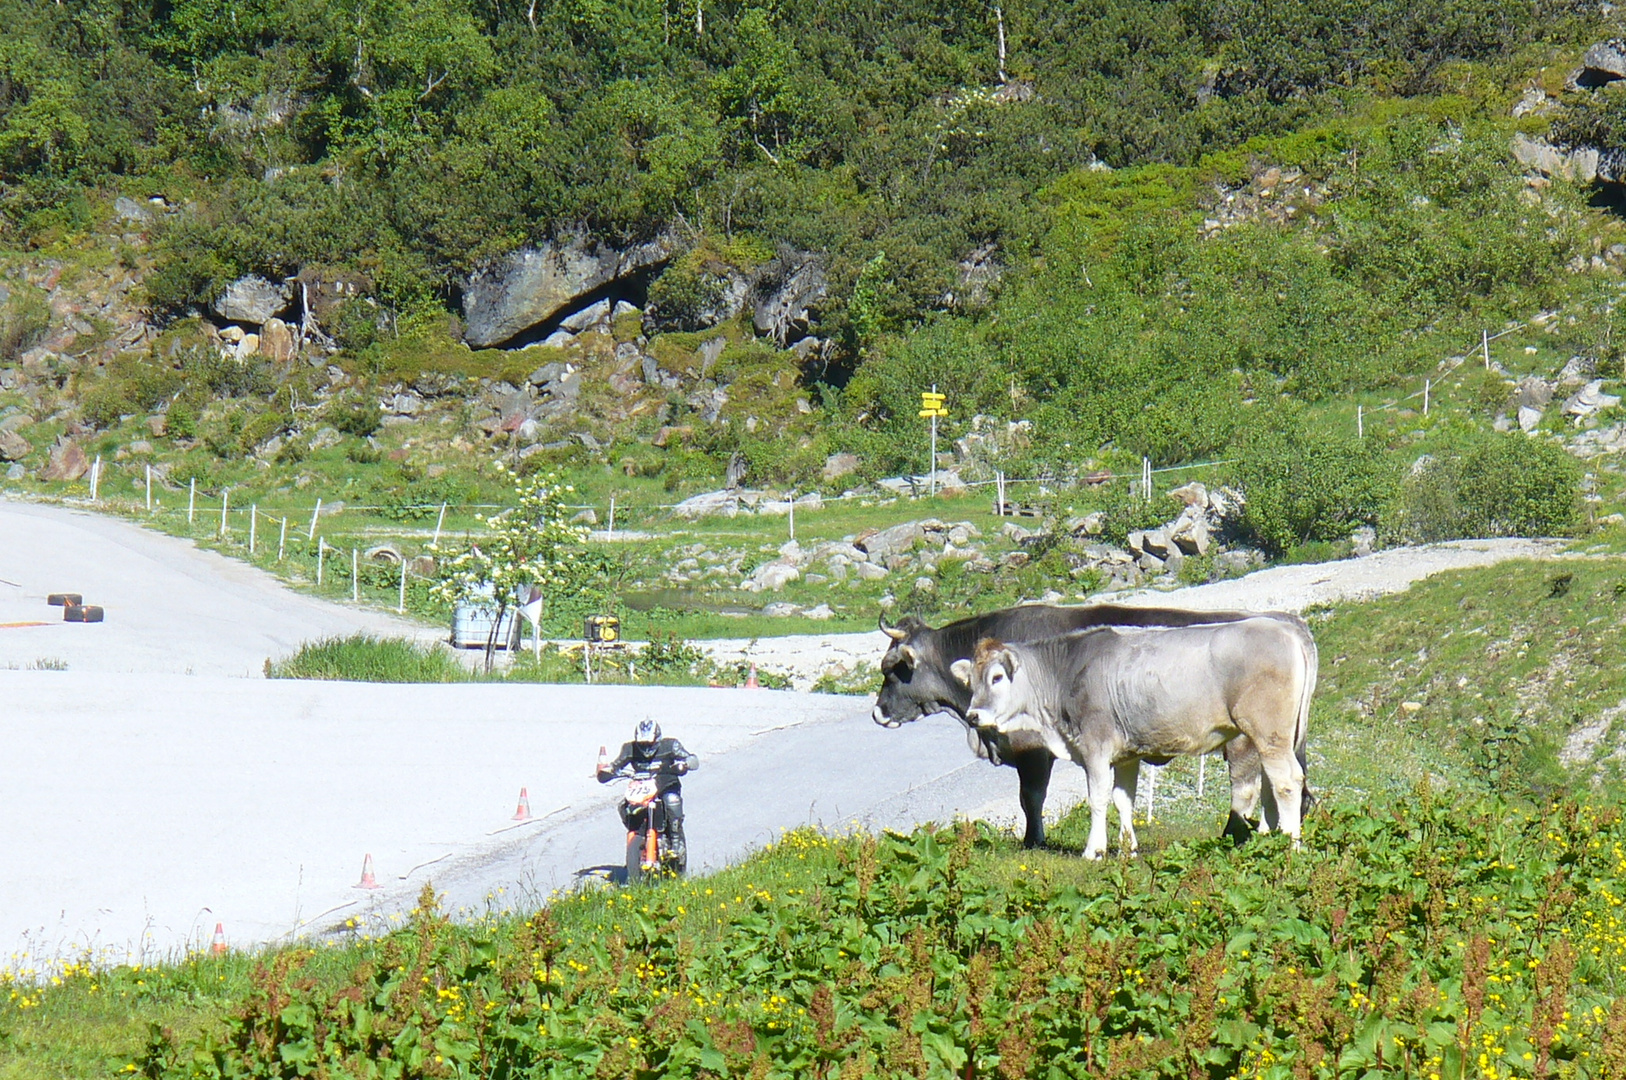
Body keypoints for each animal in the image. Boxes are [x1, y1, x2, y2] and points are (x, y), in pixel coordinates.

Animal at [956, 621, 1313, 865]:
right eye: (970, 680)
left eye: (997, 677)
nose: (973, 715)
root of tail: (1286, 627)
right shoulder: (1126, 754)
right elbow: (1123, 799)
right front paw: (1128, 849)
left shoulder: (1095, 745)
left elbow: (1098, 798)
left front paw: (1094, 849)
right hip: (1276, 738)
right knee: (1271, 785)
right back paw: (1269, 839)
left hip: (1267, 733)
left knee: (1284, 783)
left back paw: (1290, 844)